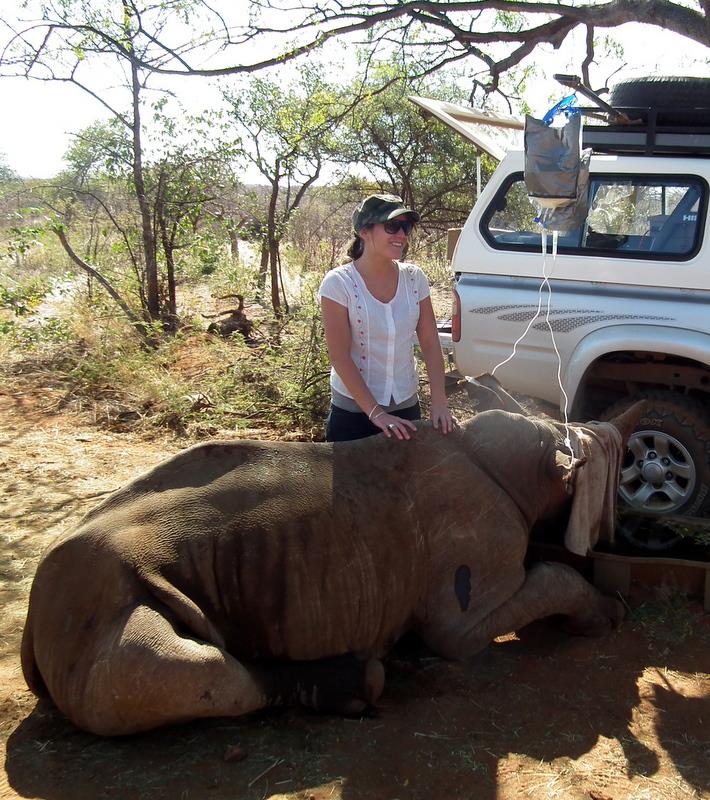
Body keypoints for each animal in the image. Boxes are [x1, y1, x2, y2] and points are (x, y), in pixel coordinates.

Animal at [21, 385, 642, 736]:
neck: (538, 468)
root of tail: (30, 618)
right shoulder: (464, 616)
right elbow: (549, 580)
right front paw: (606, 617)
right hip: (100, 590)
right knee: (180, 666)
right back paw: (361, 683)